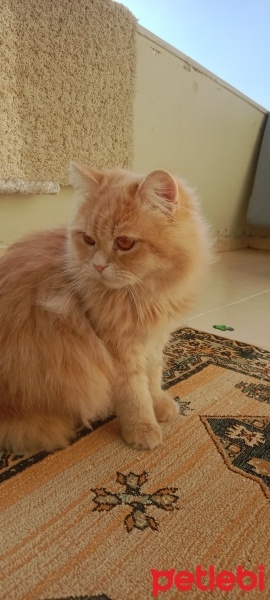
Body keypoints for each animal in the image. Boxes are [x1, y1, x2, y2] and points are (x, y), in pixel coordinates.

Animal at [0, 162, 211, 452]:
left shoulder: (154, 341)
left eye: (124, 243)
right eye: (89, 240)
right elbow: (135, 393)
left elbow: (153, 377)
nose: (98, 266)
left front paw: (159, 404)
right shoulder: (120, 349)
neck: (145, 295)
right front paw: (143, 428)